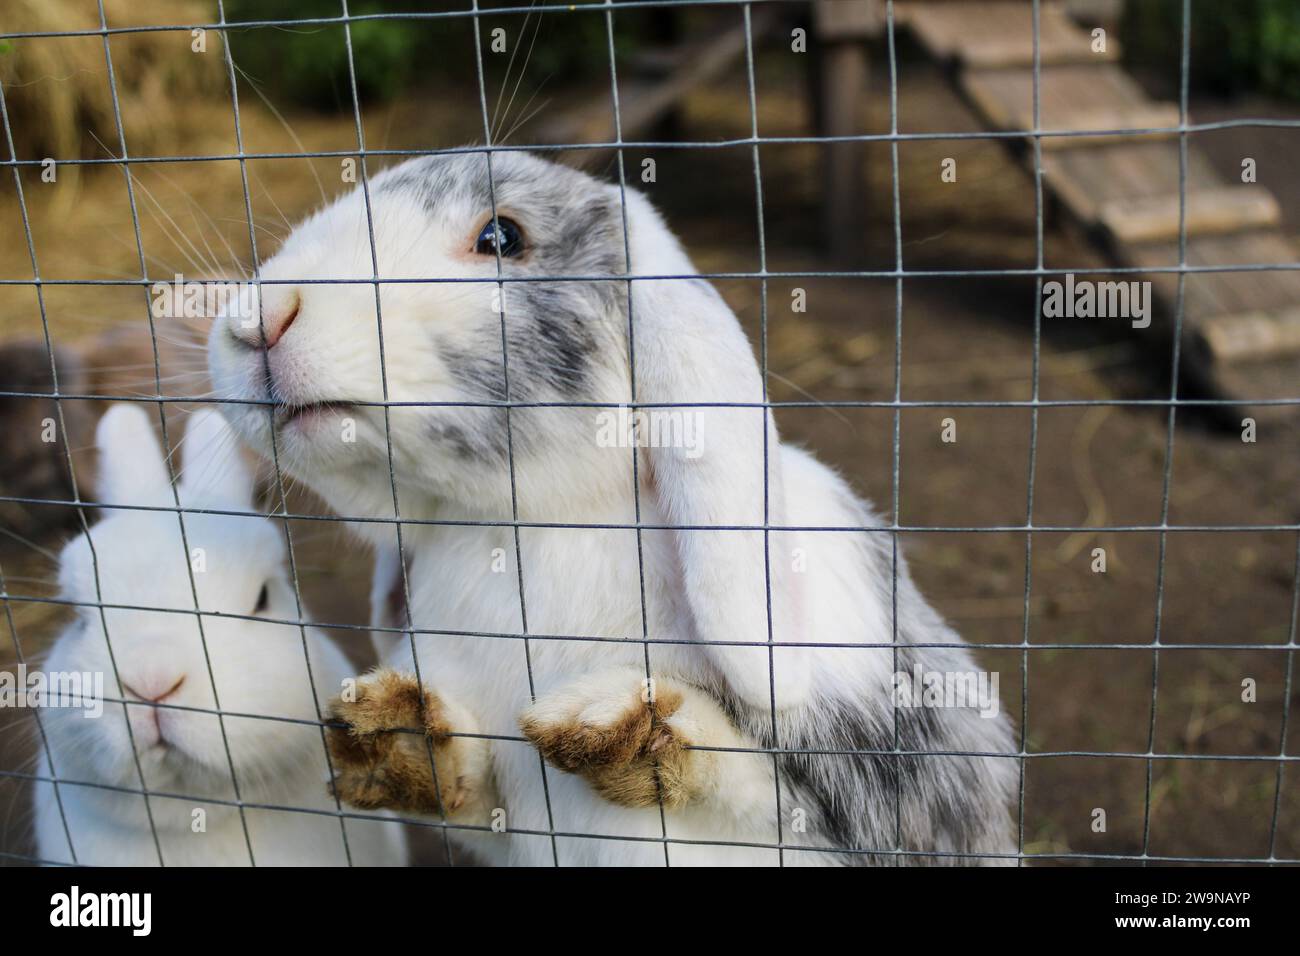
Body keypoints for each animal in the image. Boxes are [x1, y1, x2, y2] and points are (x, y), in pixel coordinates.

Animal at [208, 151, 1019, 868]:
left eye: (501, 237)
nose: (257, 320)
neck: (536, 526)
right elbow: (468, 791)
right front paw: (397, 730)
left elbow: (760, 791)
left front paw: (614, 722)